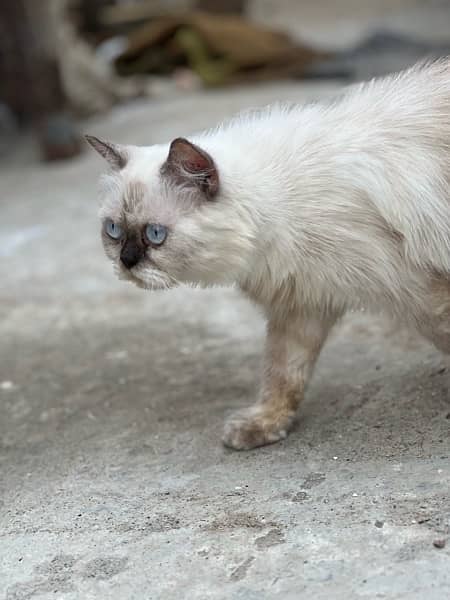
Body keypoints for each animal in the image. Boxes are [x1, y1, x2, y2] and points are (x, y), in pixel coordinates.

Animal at [87, 59, 450, 450]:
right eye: (114, 231)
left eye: (155, 235)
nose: (126, 262)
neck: (278, 208)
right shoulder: (303, 304)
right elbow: (283, 376)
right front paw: (263, 426)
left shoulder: (422, 294)